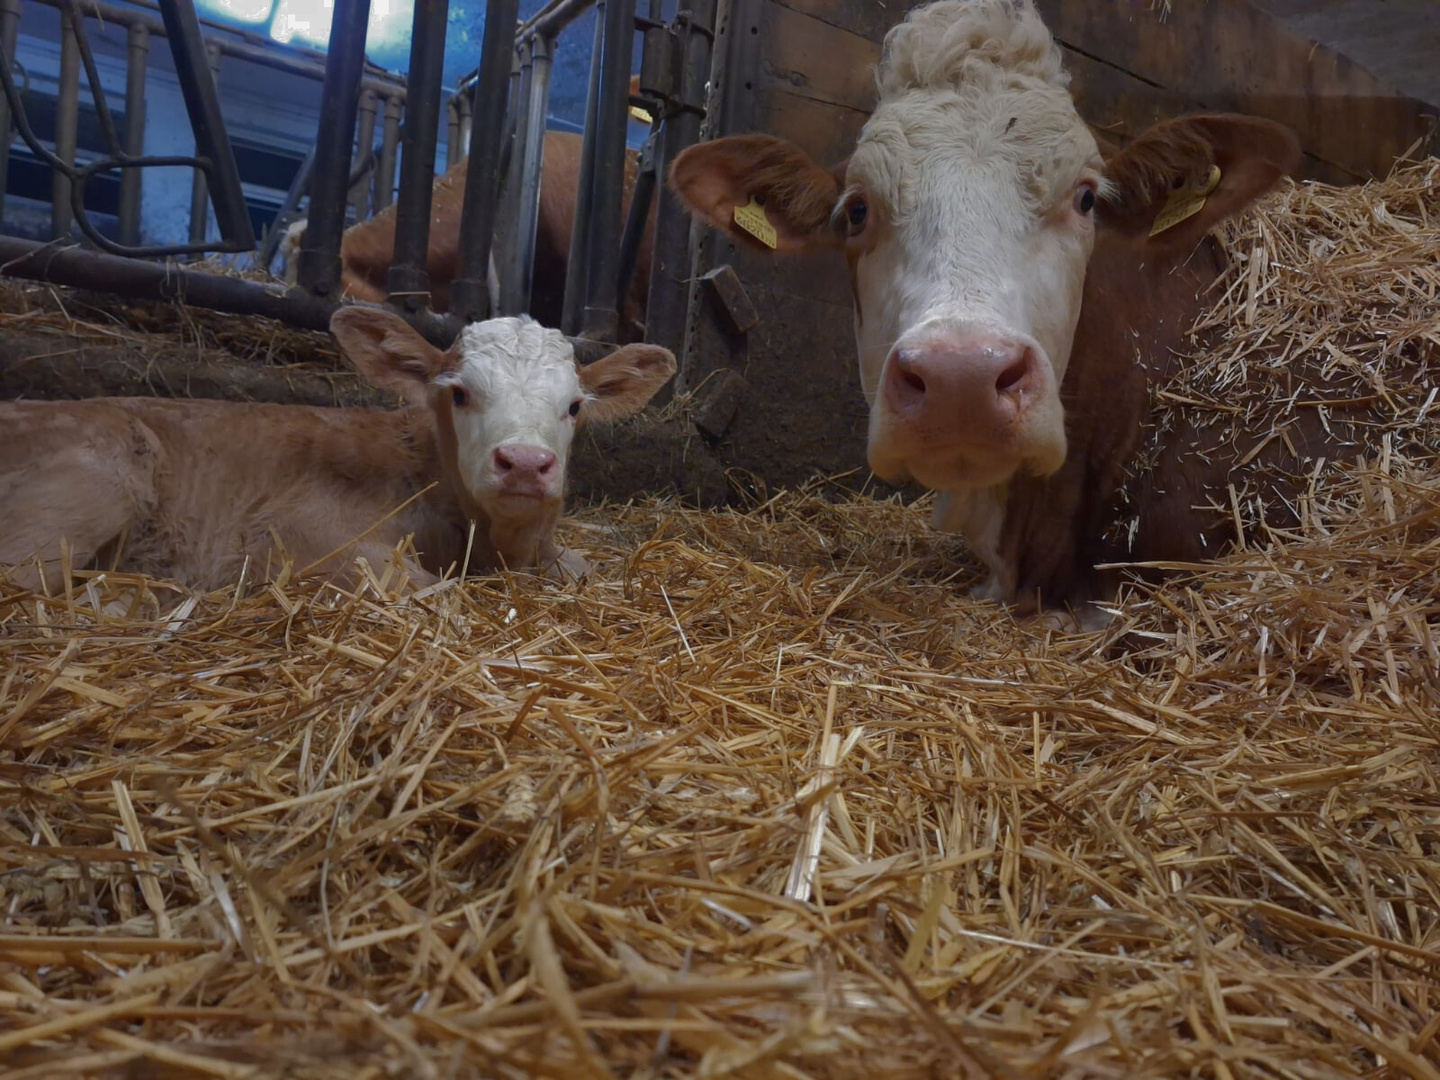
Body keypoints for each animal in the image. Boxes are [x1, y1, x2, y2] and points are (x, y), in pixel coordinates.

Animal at [0, 310, 676, 594]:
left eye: (575, 406)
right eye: (459, 393)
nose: (526, 465)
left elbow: (585, 571)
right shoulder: (291, 529)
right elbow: (429, 590)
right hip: (85, 492)